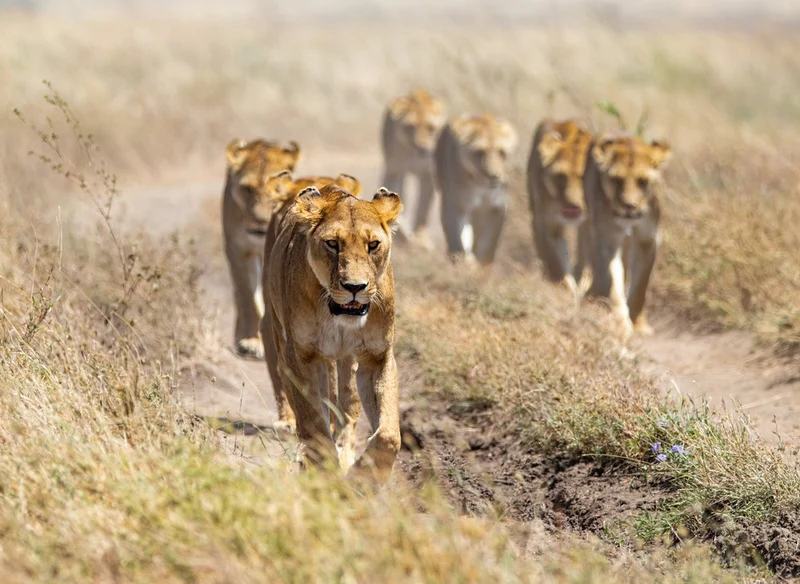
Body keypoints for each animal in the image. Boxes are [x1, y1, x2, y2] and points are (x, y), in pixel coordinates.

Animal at [221, 138, 301, 359]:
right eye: (247, 188)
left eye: (276, 190)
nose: (260, 223)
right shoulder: (238, 250)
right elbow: (249, 296)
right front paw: (252, 342)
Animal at [380, 89, 447, 247]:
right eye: (410, 127)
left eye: (431, 128)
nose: (422, 149)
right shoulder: (394, 170)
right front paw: (403, 235)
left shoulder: (428, 176)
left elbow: (423, 209)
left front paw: (421, 239)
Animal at [433, 114, 517, 266]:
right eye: (480, 152)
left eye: (502, 153)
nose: (494, 176)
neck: (481, 187)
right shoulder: (456, 206)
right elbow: (459, 239)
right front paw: (465, 263)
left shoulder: (497, 208)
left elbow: (488, 245)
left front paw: (482, 266)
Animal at [526, 118, 594, 297]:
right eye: (561, 177)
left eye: (583, 178)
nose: (572, 205)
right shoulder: (547, 225)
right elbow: (556, 262)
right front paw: (568, 290)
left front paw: (584, 281)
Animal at [576, 132, 672, 335]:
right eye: (617, 180)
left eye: (643, 181)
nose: (629, 206)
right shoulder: (608, 240)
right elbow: (614, 283)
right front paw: (621, 325)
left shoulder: (646, 239)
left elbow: (640, 287)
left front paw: (639, 325)